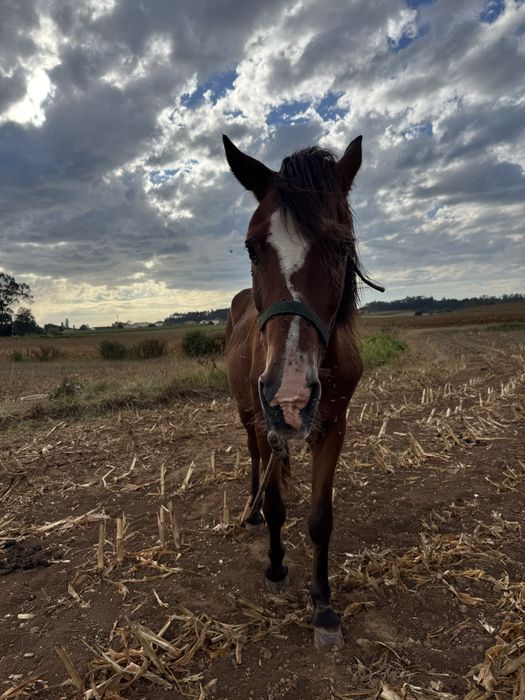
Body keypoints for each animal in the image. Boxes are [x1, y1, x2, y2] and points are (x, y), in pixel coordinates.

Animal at [223, 133, 373, 650]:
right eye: (251, 248)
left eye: (341, 246)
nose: (289, 395)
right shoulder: (269, 424)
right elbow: (275, 504)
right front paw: (275, 567)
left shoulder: (333, 427)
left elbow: (320, 519)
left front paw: (323, 605)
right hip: (249, 415)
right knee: (254, 460)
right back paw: (250, 510)